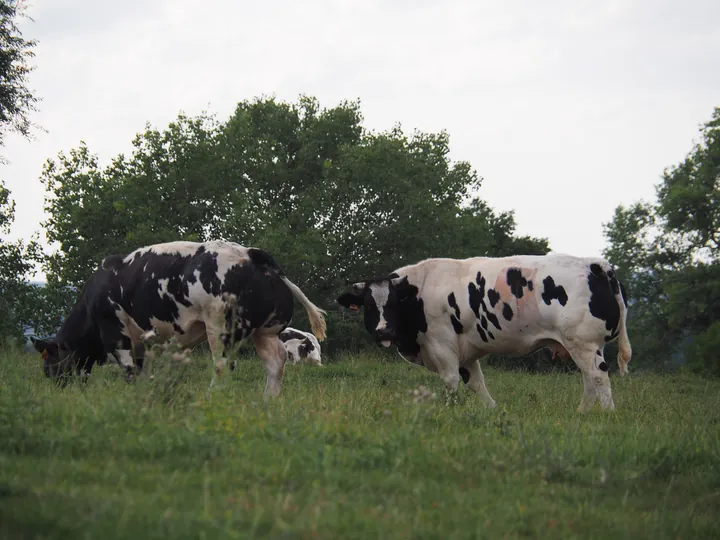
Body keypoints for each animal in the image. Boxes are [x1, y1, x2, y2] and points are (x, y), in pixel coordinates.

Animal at [31, 240, 328, 396]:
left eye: (49, 362)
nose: (55, 386)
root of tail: (250, 253)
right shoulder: (145, 343)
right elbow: (144, 372)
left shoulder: (116, 334)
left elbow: (130, 371)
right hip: (265, 332)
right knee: (276, 364)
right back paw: (268, 402)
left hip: (220, 328)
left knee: (222, 366)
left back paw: (211, 398)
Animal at [338, 255, 632, 412]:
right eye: (368, 304)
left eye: (393, 303)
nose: (383, 330)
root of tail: (596, 264)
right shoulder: (466, 353)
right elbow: (476, 383)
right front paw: (492, 411)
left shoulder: (442, 345)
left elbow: (451, 381)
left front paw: (449, 411)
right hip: (583, 345)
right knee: (589, 380)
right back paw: (582, 413)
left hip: (583, 343)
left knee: (598, 377)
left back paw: (607, 414)